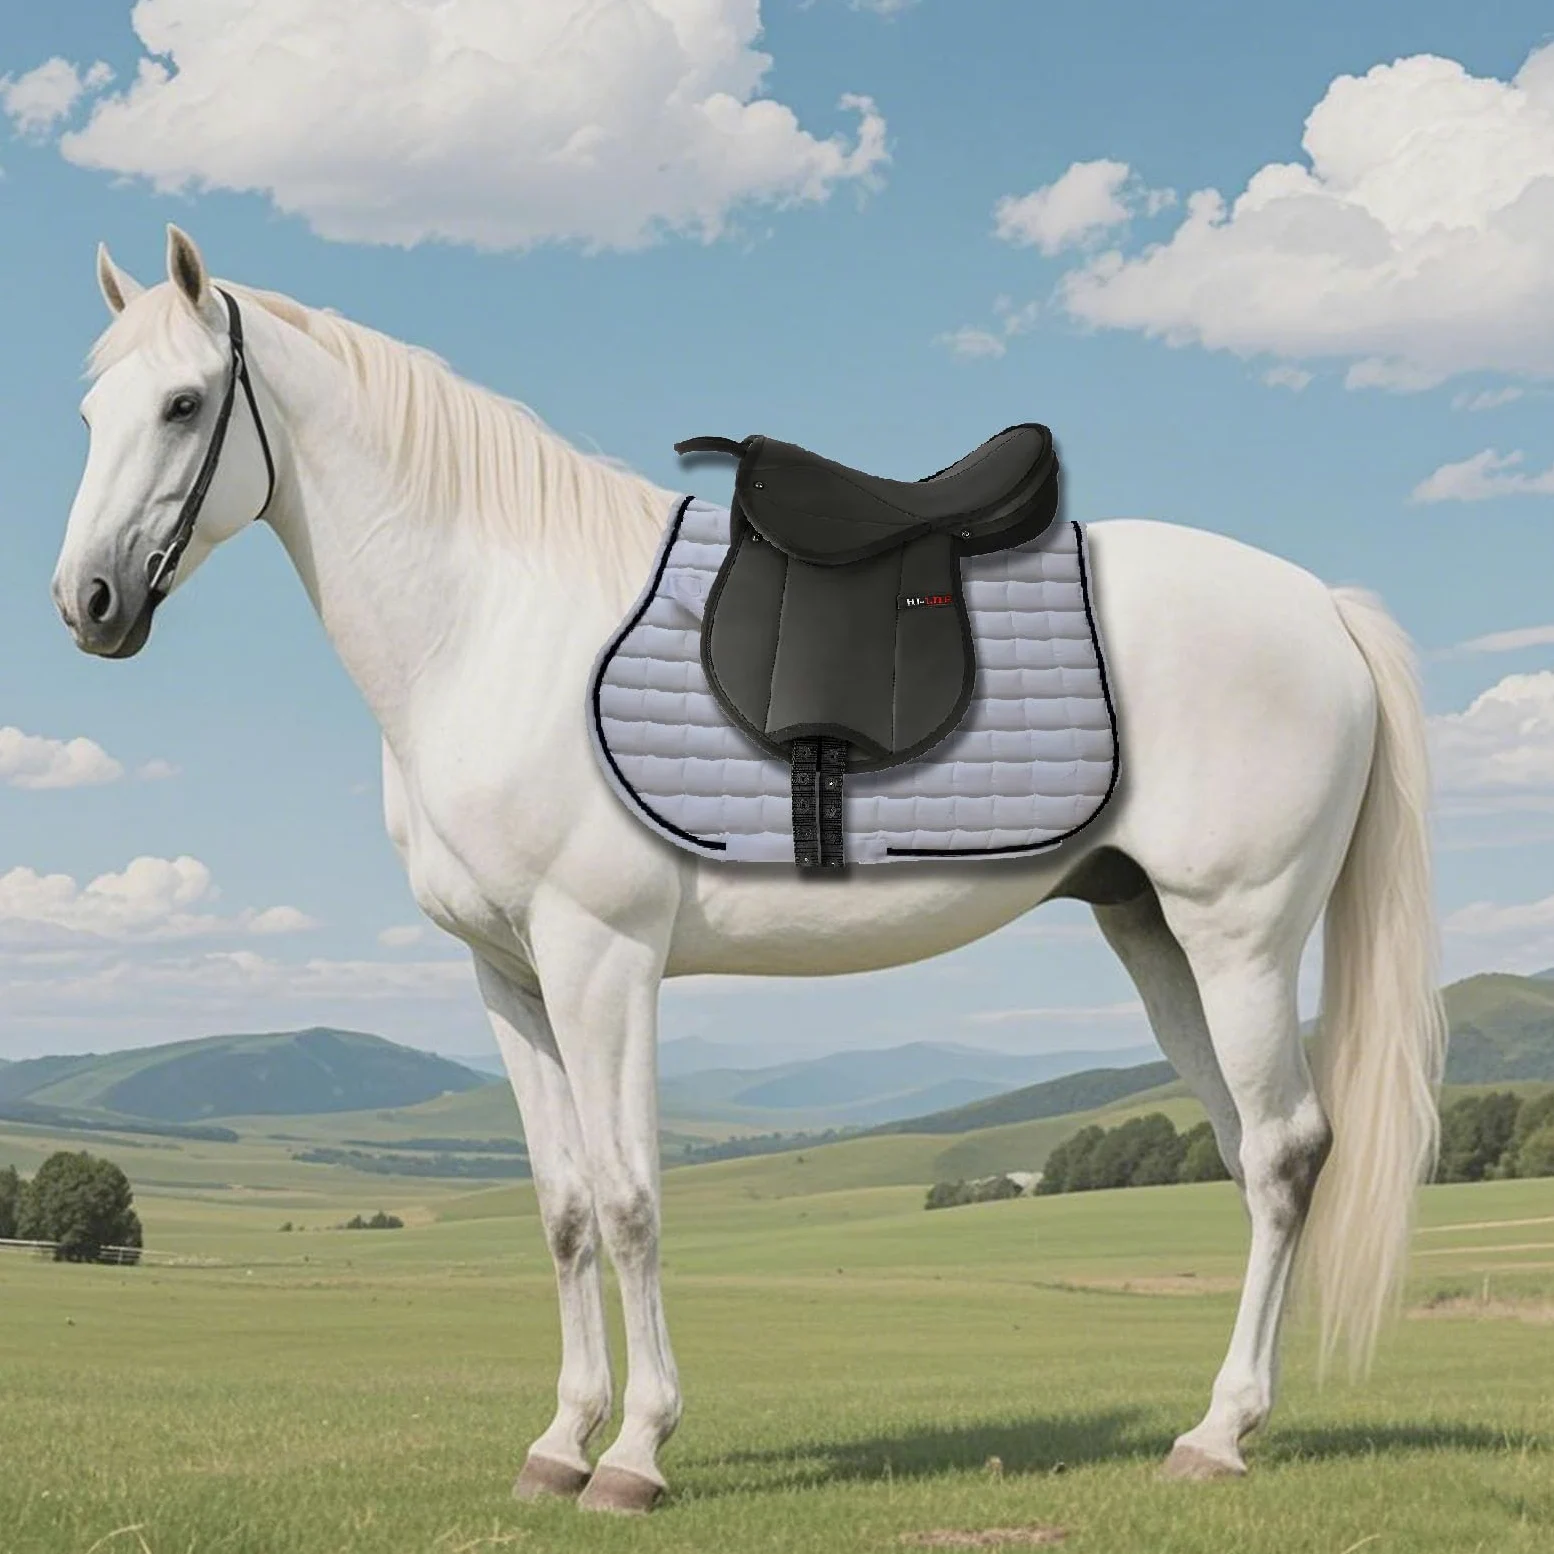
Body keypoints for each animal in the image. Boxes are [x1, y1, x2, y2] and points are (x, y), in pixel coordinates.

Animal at [51, 225, 1446, 1513]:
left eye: (185, 406)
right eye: (90, 410)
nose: (88, 604)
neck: (493, 629)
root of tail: (1321, 610)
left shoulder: (601, 960)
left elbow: (630, 1203)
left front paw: (635, 1455)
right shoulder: (508, 977)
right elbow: (563, 1210)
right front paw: (560, 1443)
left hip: (1239, 933)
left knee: (1286, 1152)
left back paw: (1218, 1435)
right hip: (1152, 930)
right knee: (1247, 1151)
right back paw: (1227, 1418)